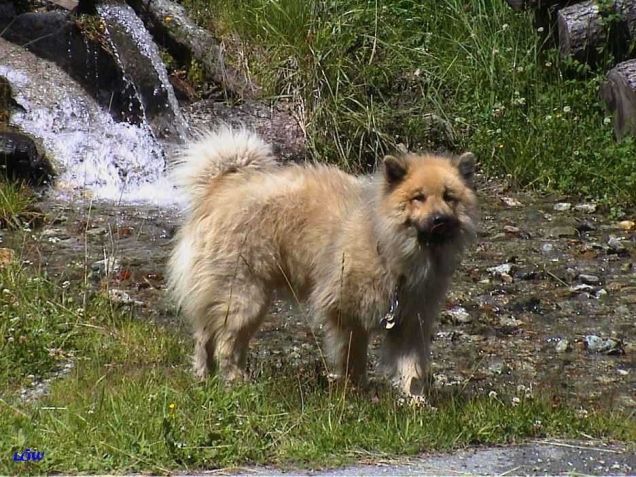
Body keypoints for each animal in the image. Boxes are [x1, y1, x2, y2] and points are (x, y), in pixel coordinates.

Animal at [169, 125, 476, 394]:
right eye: (418, 198)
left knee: (205, 338)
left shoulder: (410, 320)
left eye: (449, 197)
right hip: (246, 296)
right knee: (225, 343)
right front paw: (356, 393)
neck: (384, 239)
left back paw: (205, 378)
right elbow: (353, 358)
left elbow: (413, 369)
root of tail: (220, 187)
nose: (439, 220)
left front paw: (417, 404)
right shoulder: (347, 313)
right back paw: (235, 381)